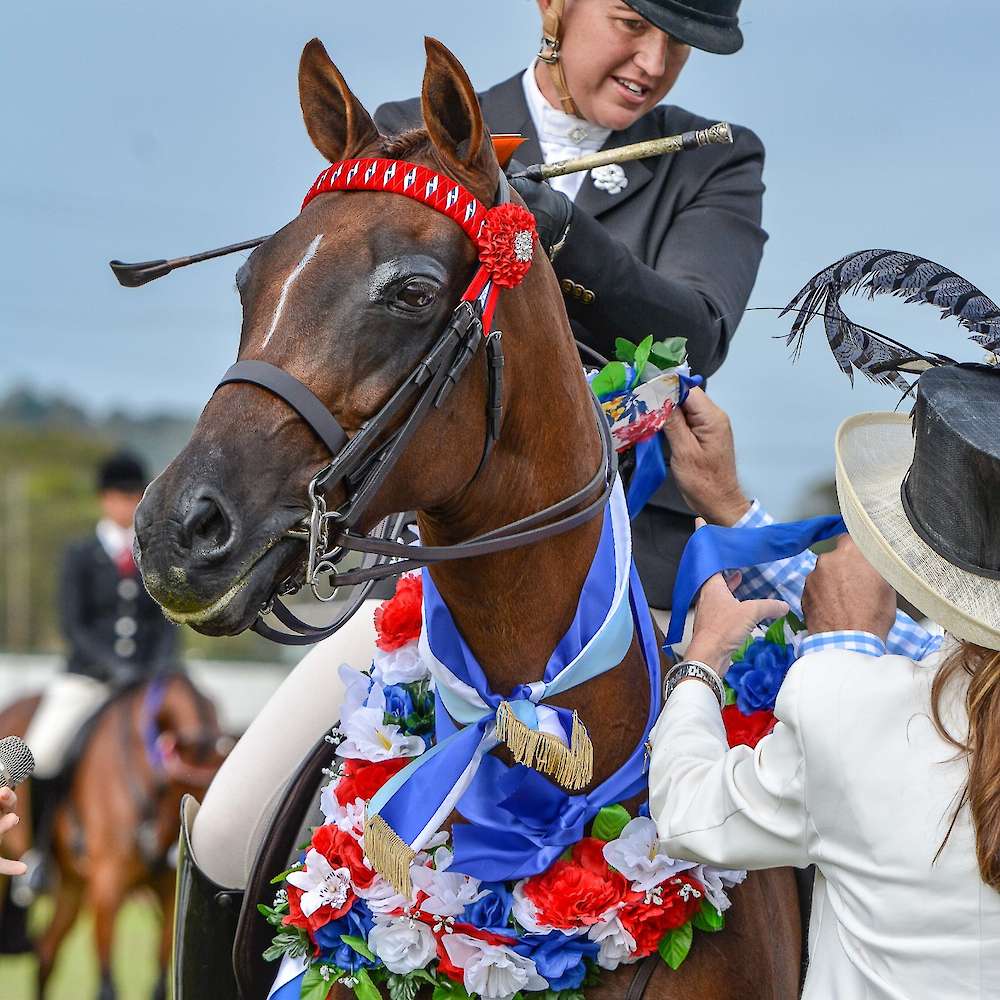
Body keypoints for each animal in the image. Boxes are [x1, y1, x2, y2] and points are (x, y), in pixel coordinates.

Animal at [0, 672, 229, 1000]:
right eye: (177, 785)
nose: (169, 853)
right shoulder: (108, 885)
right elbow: (107, 986)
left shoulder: (168, 894)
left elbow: (159, 983)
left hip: (72, 886)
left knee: (46, 953)